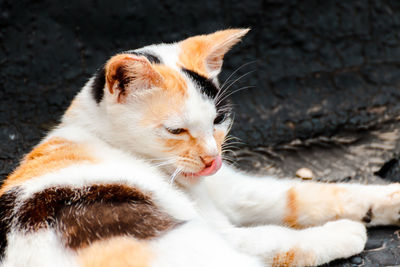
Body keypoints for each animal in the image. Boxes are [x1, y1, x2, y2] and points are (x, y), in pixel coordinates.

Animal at [0, 28, 400, 266]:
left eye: (218, 120)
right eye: (176, 130)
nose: (212, 159)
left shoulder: (236, 190)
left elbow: (306, 195)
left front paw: (389, 200)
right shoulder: (226, 233)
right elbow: (279, 239)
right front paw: (345, 231)